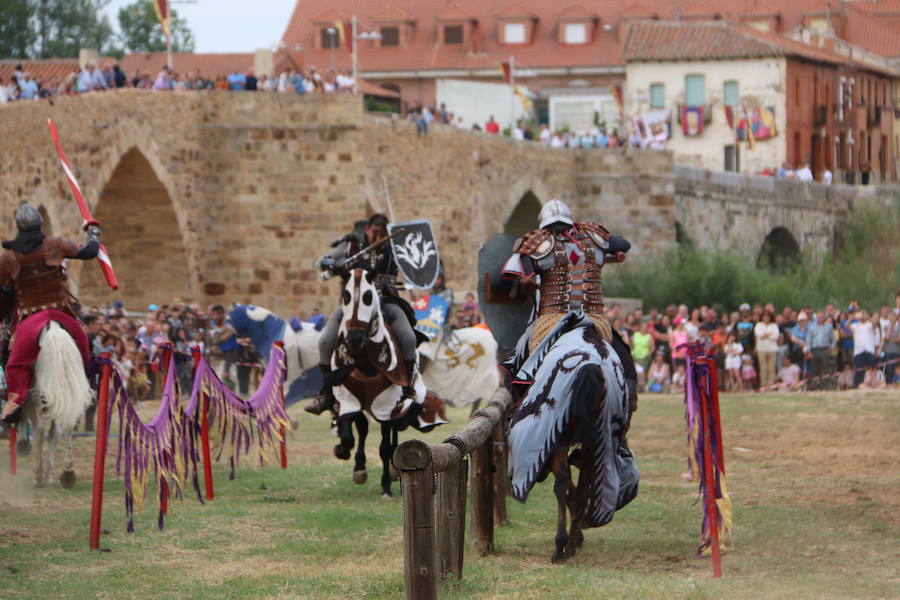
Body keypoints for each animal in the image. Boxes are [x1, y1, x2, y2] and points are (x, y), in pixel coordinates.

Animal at [17, 324, 92, 488]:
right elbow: (54, 433)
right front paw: (49, 474)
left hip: (38, 399)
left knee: (39, 431)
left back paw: (38, 475)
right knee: (67, 427)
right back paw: (67, 472)